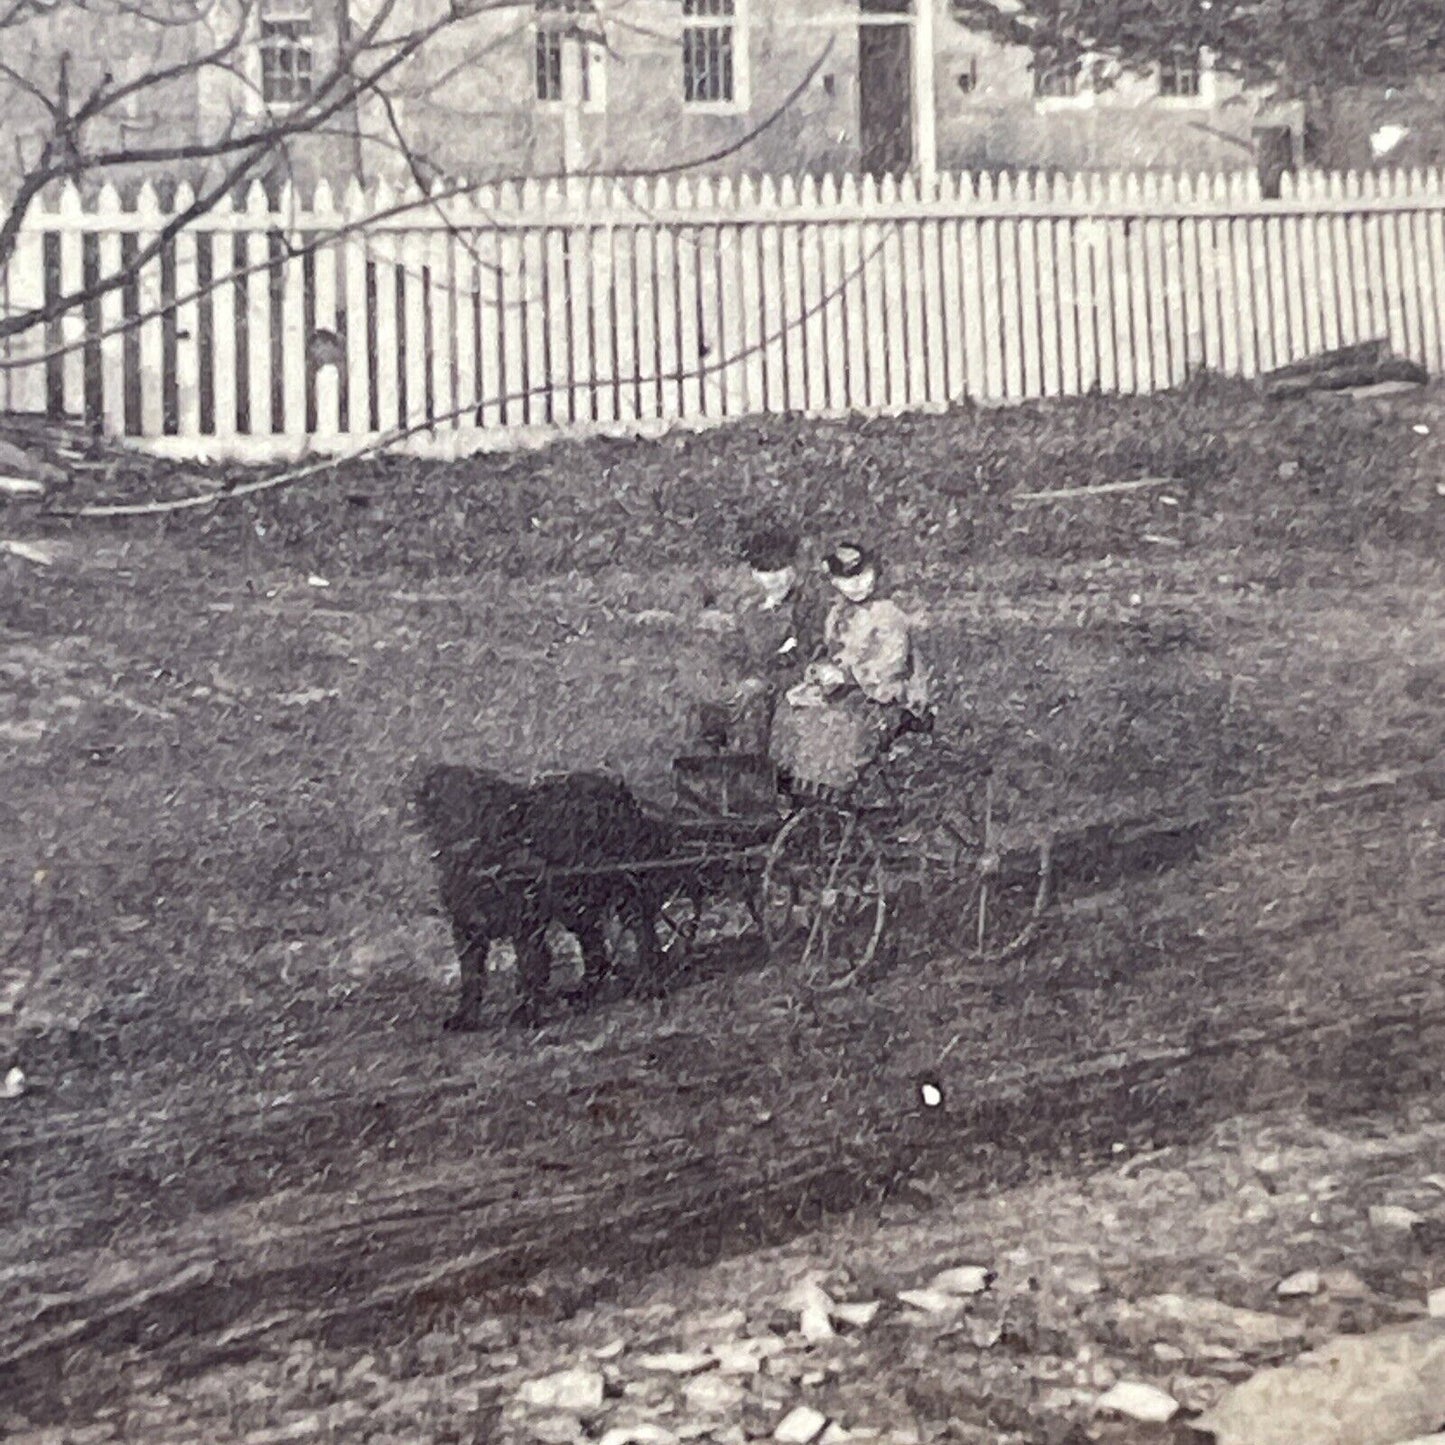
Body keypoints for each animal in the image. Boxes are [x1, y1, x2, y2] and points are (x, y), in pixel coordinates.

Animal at [413, 768, 670, 1028]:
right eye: (439, 803)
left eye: (478, 804)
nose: (461, 840)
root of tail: (618, 788)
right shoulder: (468, 926)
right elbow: (470, 974)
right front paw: (465, 1015)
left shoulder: (526, 921)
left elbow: (531, 965)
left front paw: (527, 1011)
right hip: (576, 905)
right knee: (595, 947)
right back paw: (586, 991)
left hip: (624, 888)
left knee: (643, 931)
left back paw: (649, 982)